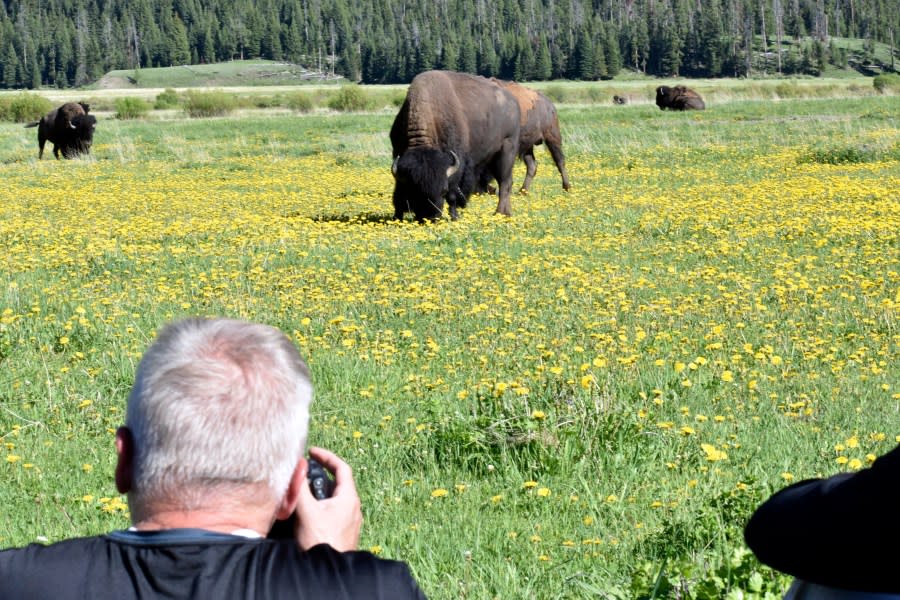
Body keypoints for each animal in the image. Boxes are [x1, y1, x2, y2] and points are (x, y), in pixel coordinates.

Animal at [390, 69, 524, 220]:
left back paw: (500, 213)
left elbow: (453, 193)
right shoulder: (399, 159)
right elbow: (398, 194)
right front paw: (396, 217)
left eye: (443, 190)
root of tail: (513, 102)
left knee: (505, 182)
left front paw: (454, 216)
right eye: (415, 191)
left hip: (507, 151)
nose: (432, 217)